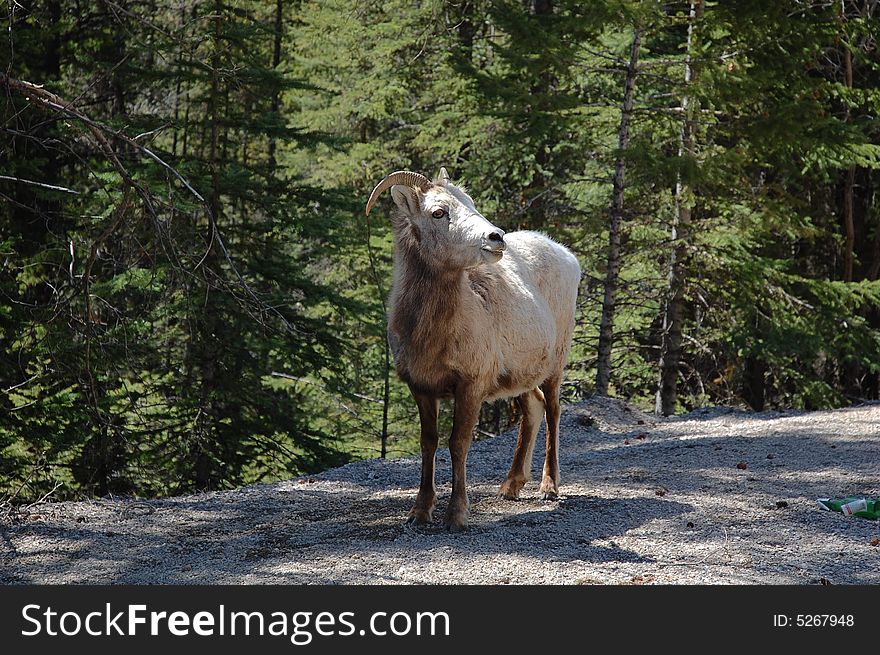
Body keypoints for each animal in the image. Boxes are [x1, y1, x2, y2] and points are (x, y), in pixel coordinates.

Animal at [360, 167, 580, 532]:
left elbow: (458, 443)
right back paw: (510, 487)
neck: (434, 335)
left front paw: (456, 516)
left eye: (471, 202)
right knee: (532, 410)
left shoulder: (471, 386)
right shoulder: (422, 389)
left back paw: (548, 487)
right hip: (522, 377)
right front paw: (420, 512)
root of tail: (566, 255)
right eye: (438, 212)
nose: (496, 238)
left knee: (553, 410)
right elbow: (429, 443)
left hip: (556, 364)